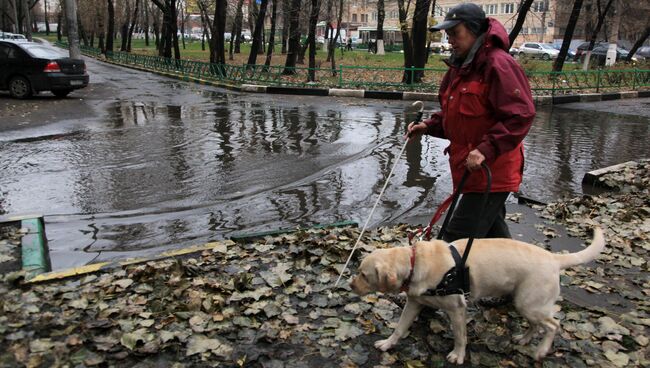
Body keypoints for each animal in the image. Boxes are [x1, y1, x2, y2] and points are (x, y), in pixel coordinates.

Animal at [350, 229, 604, 364]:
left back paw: (541, 350)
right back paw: (523, 339)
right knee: (535, 324)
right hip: (524, 302)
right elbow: (400, 328)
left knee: (553, 325)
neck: (415, 262)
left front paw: (457, 355)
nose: (351, 284)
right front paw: (388, 343)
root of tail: (553, 258)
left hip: (530, 303)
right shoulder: (413, 303)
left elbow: (460, 336)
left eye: (363, 274)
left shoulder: (457, 309)